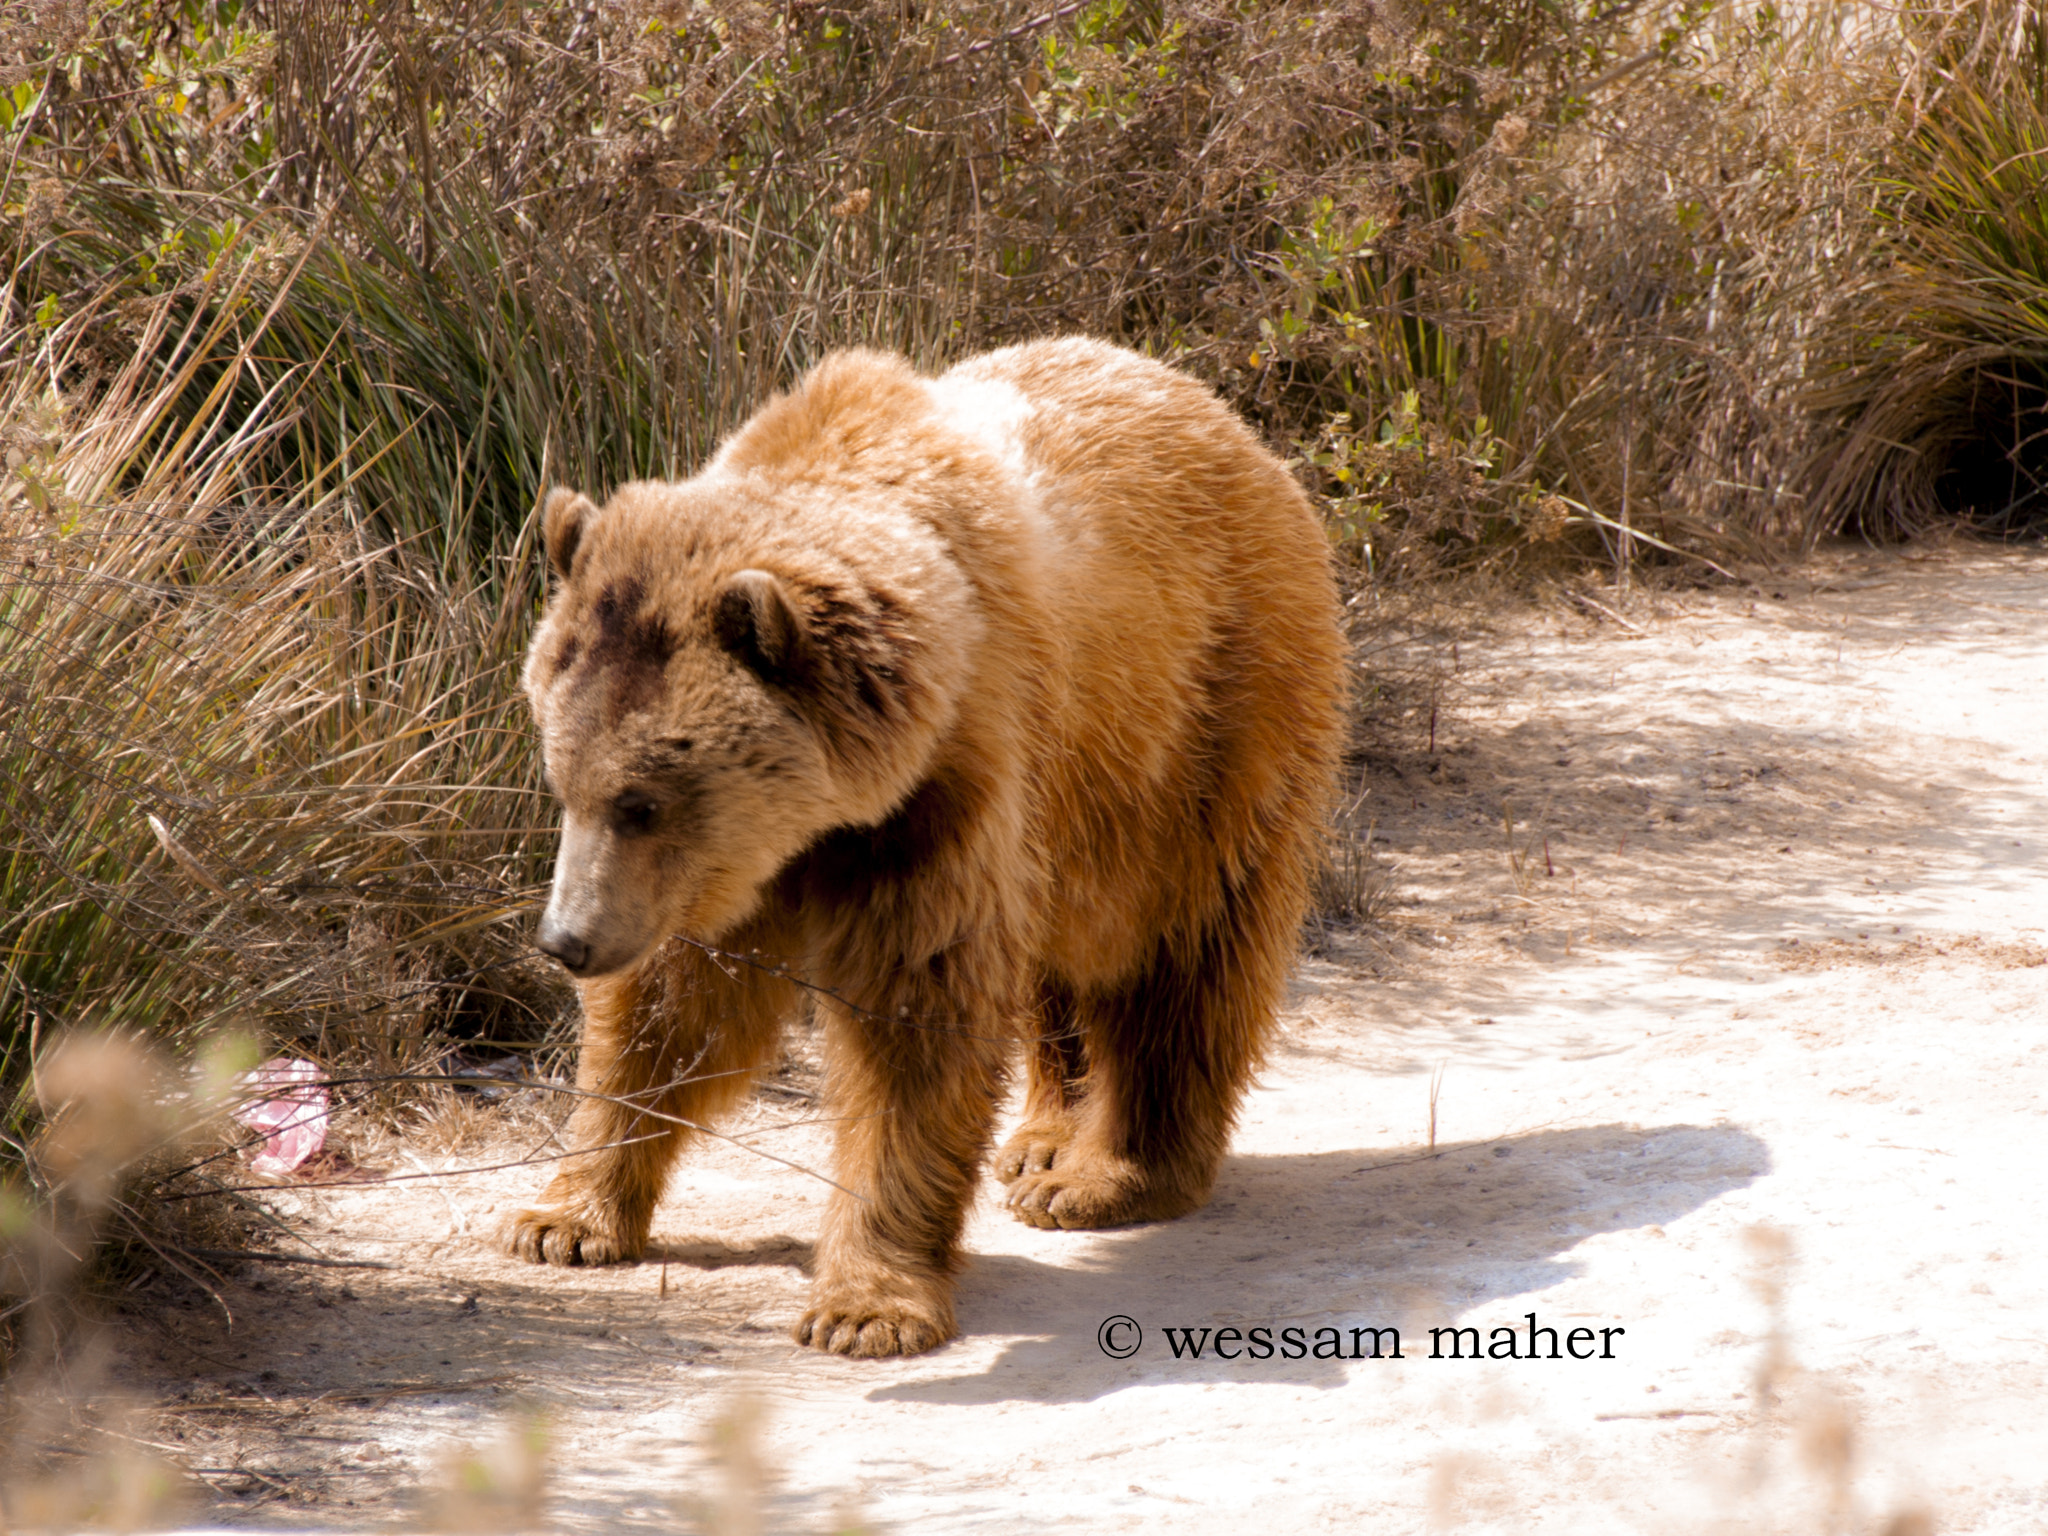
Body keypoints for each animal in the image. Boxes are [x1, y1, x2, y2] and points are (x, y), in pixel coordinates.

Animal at [506, 337, 1347, 1357]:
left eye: (642, 802)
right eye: (562, 781)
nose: (567, 942)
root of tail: (1228, 421)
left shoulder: (942, 791)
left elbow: (914, 1026)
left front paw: (865, 1304)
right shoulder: (731, 870)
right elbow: (670, 1012)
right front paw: (562, 1218)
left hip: (1203, 728)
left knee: (1184, 957)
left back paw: (1106, 1175)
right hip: (1079, 818)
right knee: (1060, 968)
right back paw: (1042, 1139)